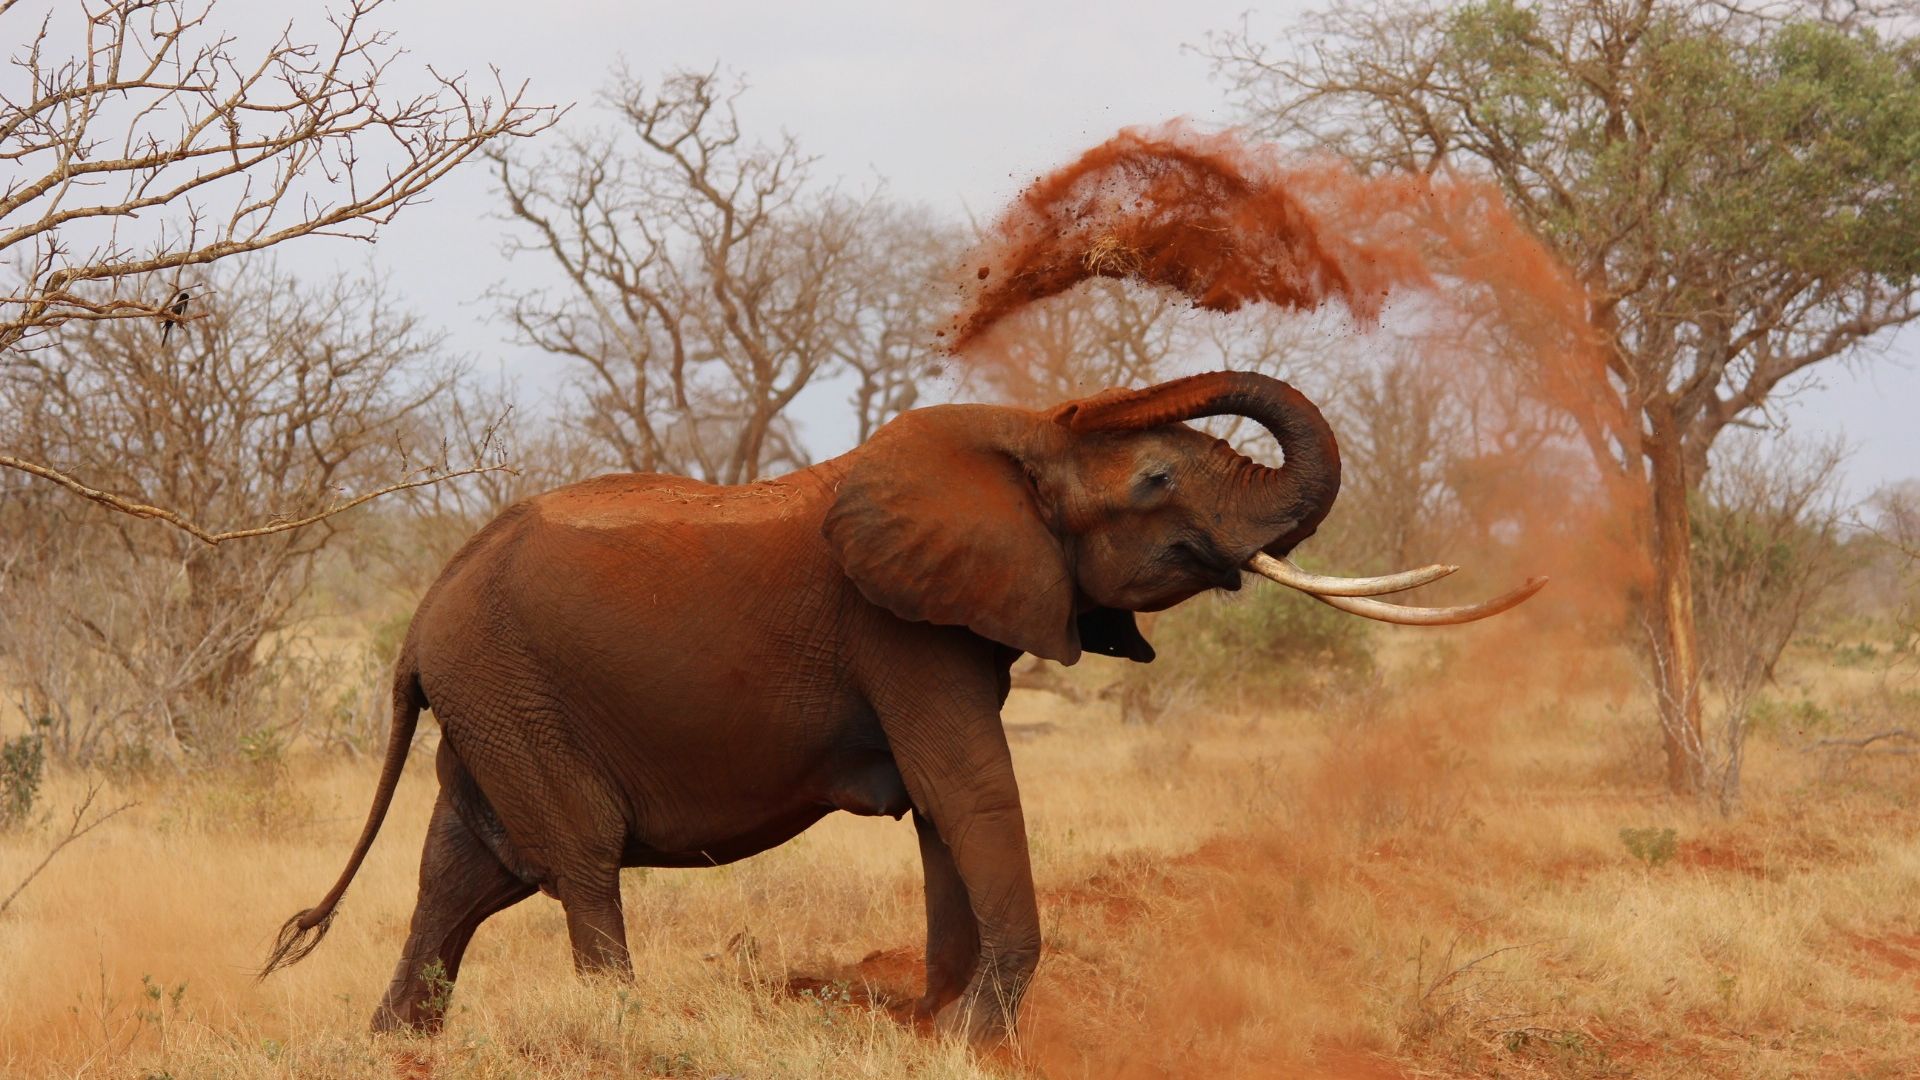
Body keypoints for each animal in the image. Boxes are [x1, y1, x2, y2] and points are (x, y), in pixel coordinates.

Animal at [263, 367, 1536, 1037]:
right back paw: (619, 1030)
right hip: (512, 691)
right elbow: (968, 788)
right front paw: (975, 1034)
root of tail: (422, 615)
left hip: (491, 700)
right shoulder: (899, 629)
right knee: (574, 860)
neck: (1015, 441)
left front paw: (939, 1027)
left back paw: (397, 1046)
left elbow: (943, 811)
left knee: (463, 873)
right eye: (1159, 478)